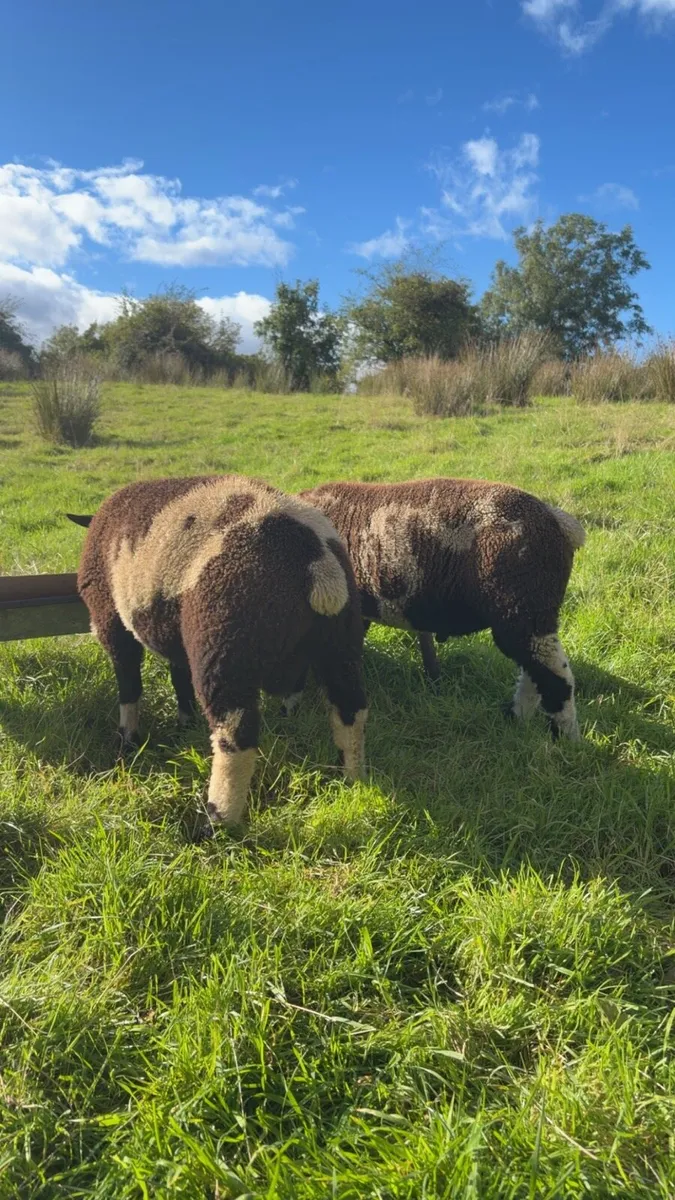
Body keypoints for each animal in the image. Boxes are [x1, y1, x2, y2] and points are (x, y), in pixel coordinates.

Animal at [67, 474, 368, 829]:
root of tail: (315, 561)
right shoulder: (176, 637)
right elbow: (178, 678)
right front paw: (184, 722)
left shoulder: (111, 622)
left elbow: (129, 686)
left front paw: (127, 740)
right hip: (340, 643)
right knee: (350, 709)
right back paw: (351, 779)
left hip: (224, 647)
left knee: (237, 736)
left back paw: (216, 820)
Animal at [298, 478, 585, 741]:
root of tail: (557, 521)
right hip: (527, 614)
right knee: (533, 671)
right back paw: (517, 718)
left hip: (522, 609)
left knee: (555, 674)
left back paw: (564, 737)